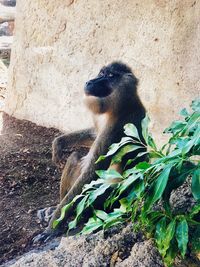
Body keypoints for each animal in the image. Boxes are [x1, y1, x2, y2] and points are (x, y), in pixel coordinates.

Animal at [34, 62, 145, 243]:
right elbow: (93, 133)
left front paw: (53, 226)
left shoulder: (116, 128)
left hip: (103, 199)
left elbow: (91, 173)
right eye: (101, 73)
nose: (90, 81)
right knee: (74, 157)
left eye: (110, 76)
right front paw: (58, 143)